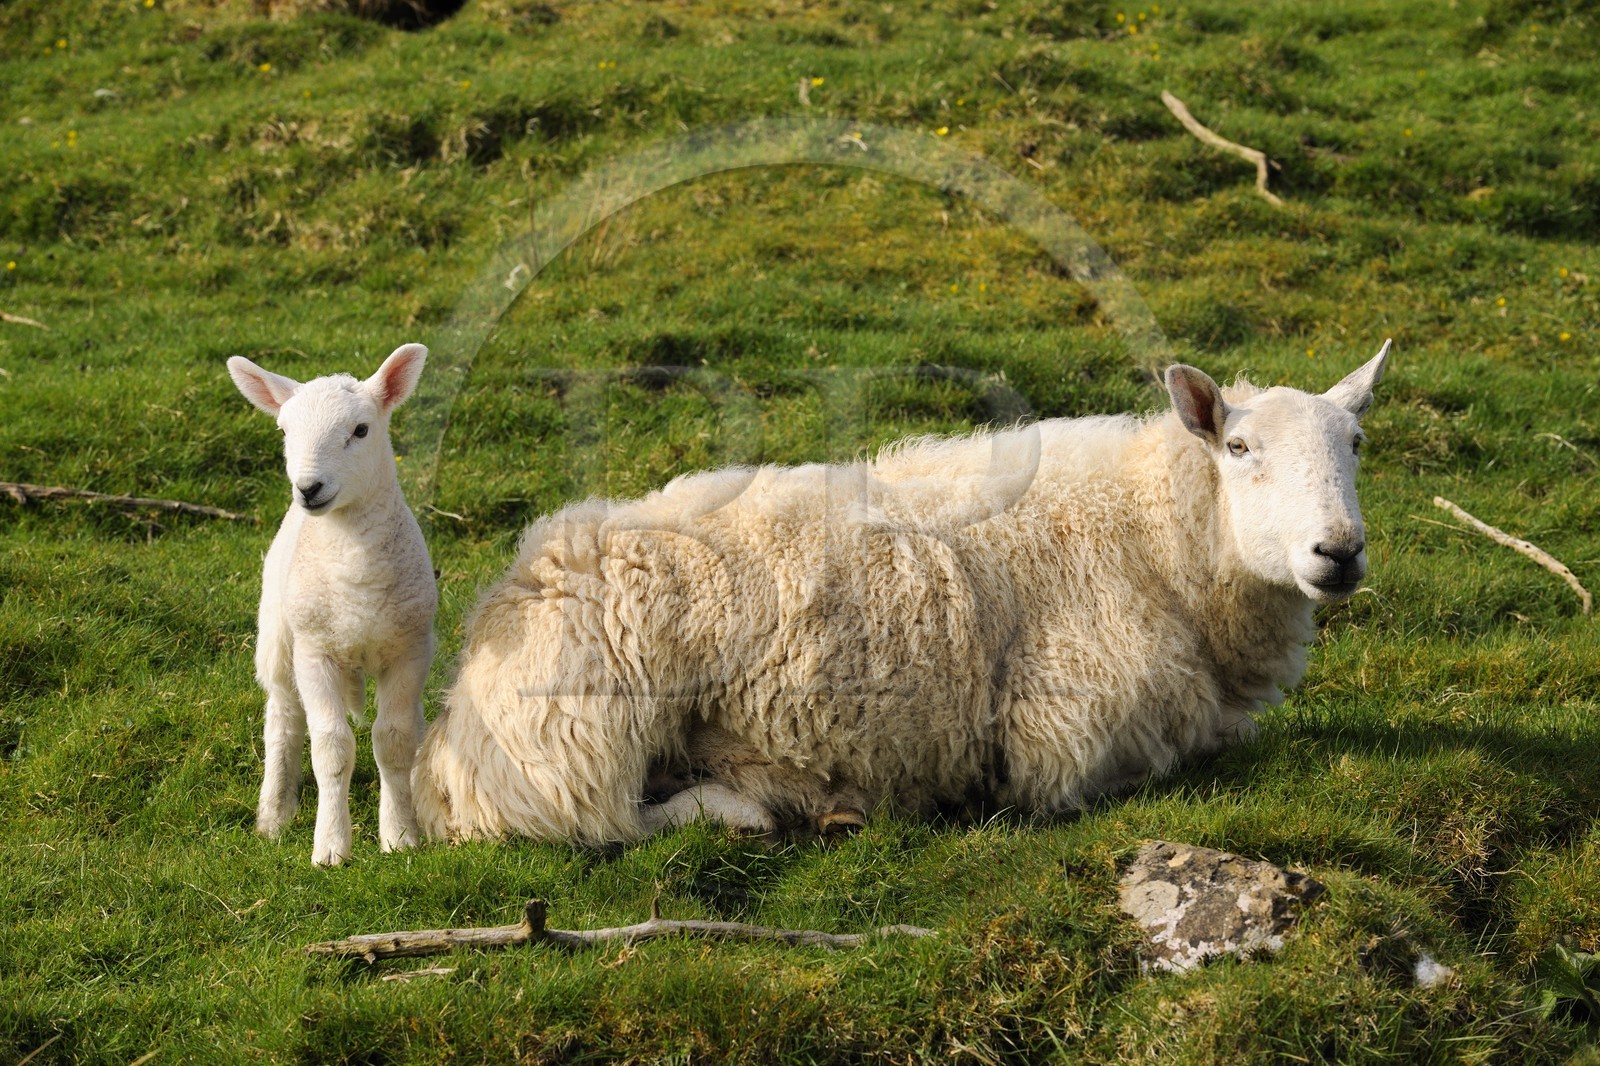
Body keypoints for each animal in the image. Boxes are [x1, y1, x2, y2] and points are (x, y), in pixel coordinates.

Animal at [228, 344, 437, 866]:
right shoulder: (314, 651)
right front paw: (330, 848)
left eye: (361, 430)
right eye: (284, 432)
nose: (308, 488)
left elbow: (394, 739)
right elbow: (332, 747)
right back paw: (274, 816)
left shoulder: (409, 649)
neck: (354, 571)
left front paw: (400, 835)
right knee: (283, 719)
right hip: (279, 637)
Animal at [411, 343, 1390, 844]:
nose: (1338, 551)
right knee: (601, 820)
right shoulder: (1069, 736)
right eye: (1240, 448)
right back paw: (762, 810)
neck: (1155, 536)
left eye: (1355, 444)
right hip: (575, 740)